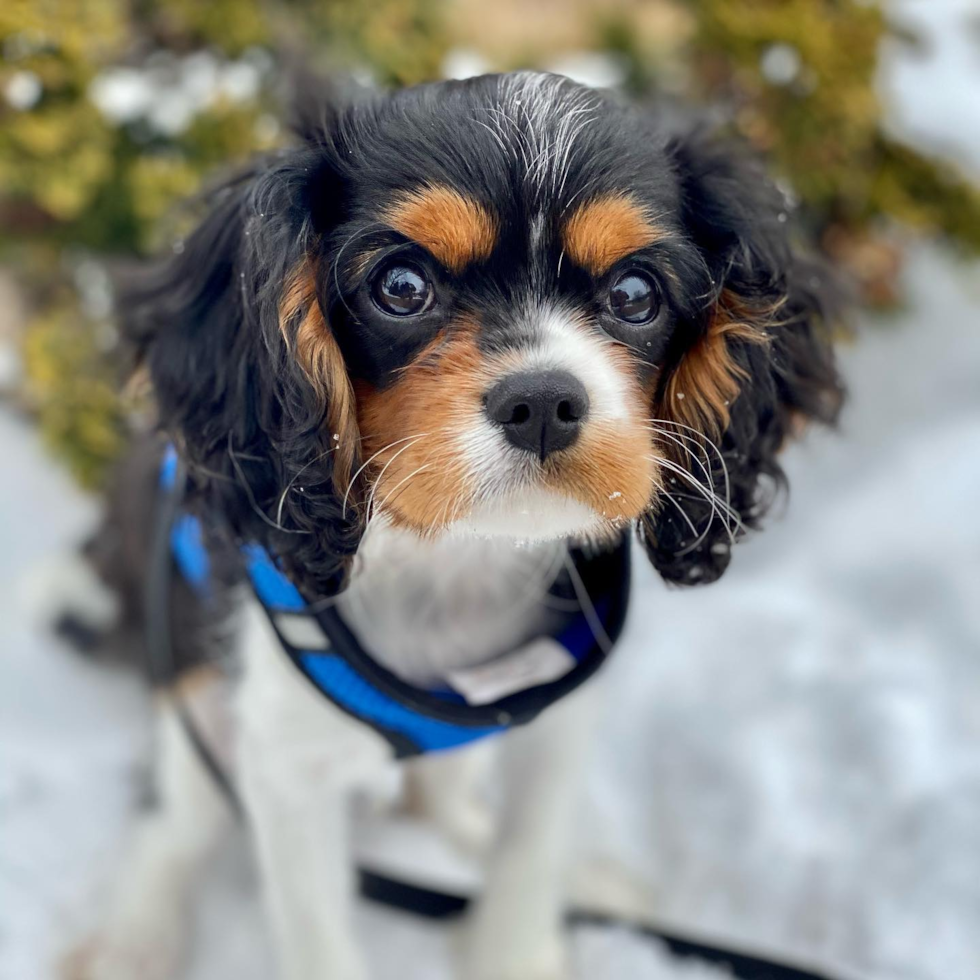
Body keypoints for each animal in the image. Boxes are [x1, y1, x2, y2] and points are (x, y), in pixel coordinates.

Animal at [61, 71, 844, 980]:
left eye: (635, 295)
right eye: (402, 286)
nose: (542, 401)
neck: (455, 556)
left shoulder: (558, 721)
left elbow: (528, 849)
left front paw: (518, 948)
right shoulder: (287, 763)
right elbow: (315, 930)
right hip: (193, 684)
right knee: (171, 818)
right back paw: (132, 942)